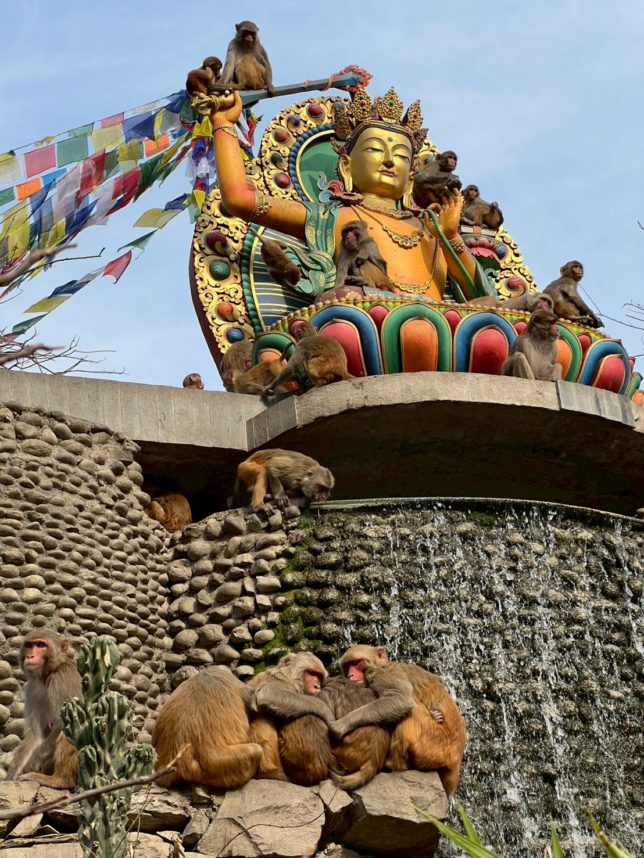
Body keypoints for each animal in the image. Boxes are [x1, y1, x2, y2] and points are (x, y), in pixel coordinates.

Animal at [6, 630, 82, 789]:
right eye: (29, 646)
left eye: (41, 645)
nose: (30, 656)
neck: (47, 676)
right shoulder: (32, 688)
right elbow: (36, 733)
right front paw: (12, 774)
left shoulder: (63, 677)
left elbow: (63, 722)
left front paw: (30, 765)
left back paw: (60, 780)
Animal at [249, 652, 333, 786]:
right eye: (311, 673)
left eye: (319, 676)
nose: (317, 686)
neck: (290, 678)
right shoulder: (281, 682)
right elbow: (266, 693)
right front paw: (324, 708)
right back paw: (270, 773)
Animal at [328, 644, 467, 797]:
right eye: (347, 666)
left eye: (356, 662)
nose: (350, 675)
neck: (380, 666)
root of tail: (457, 757)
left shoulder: (383, 675)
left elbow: (401, 699)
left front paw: (343, 724)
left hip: (435, 745)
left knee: (411, 710)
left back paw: (394, 765)